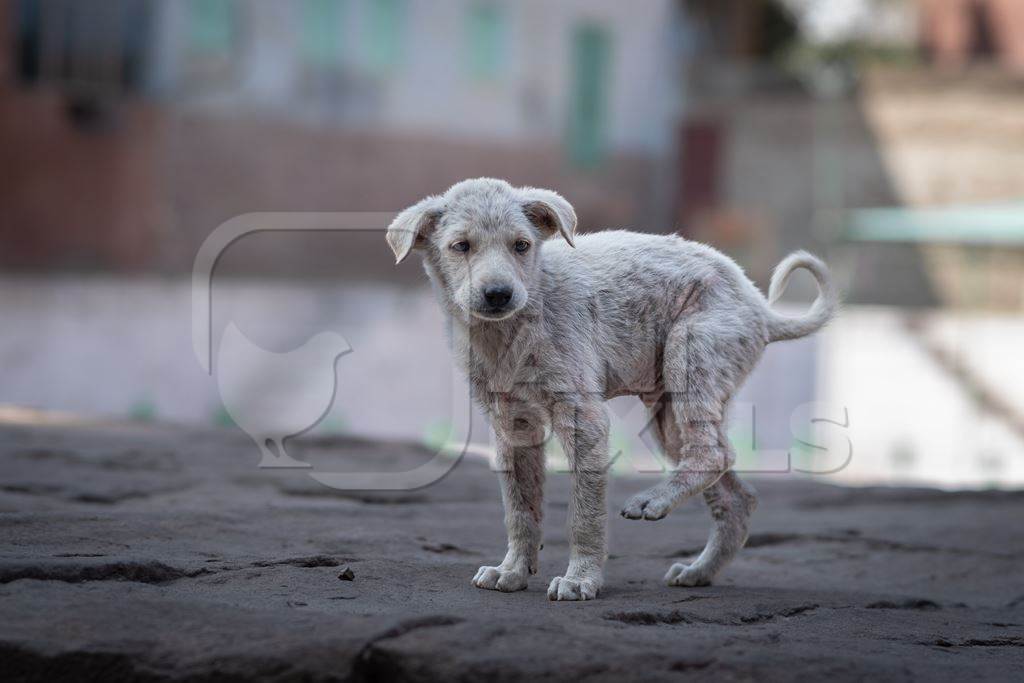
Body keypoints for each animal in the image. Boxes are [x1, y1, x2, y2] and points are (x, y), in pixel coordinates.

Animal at [387, 179, 835, 602]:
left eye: (521, 245)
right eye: (460, 246)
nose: (499, 294)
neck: (514, 327)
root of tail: (760, 306)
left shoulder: (584, 418)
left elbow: (585, 514)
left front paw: (579, 581)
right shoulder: (512, 425)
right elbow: (520, 507)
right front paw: (511, 572)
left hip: (692, 355)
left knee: (716, 454)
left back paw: (651, 503)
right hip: (668, 413)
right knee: (736, 494)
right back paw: (698, 572)